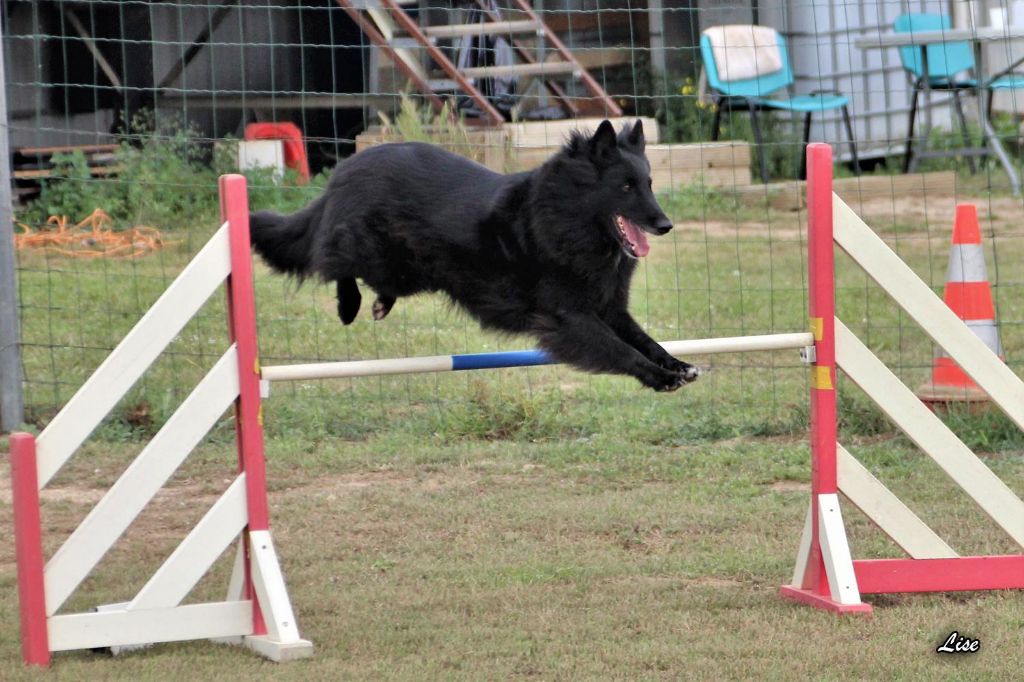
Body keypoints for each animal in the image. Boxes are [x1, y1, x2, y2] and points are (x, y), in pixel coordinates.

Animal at [251, 119, 700, 391]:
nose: (665, 224)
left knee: (364, 275)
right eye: (625, 187)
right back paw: (349, 306)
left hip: (408, 271)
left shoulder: (609, 307)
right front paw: (659, 378)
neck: (564, 218)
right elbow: (621, 349)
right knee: (333, 262)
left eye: (649, 183)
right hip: (376, 252)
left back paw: (379, 304)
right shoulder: (569, 317)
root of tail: (346, 167)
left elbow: (644, 339)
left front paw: (676, 364)